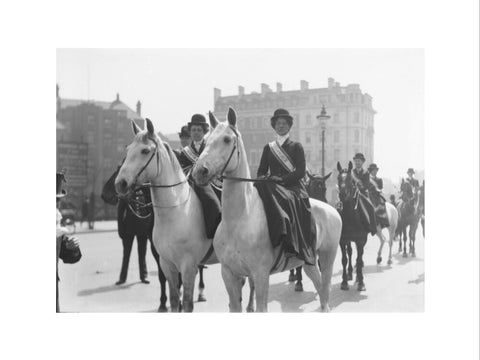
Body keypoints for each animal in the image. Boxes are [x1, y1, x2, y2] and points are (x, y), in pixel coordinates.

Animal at [116, 119, 223, 310]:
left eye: (145, 150)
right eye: (128, 150)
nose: (120, 183)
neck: (175, 212)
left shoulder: (188, 266)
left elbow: (187, 303)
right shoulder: (167, 264)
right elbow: (174, 299)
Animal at [191, 107, 342, 312]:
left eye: (227, 139)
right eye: (205, 141)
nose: (199, 171)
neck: (238, 220)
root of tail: (332, 209)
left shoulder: (260, 274)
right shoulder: (229, 274)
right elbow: (235, 306)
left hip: (327, 257)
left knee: (325, 291)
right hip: (309, 260)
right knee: (319, 286)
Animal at [336, 162, 370, 292]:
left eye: (350, 179)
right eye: (338, 178)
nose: (342, 194)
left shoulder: (361, 240)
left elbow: (359, 260)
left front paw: (361, 282)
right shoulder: (342, 240)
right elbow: (344, 259)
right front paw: (344, 281)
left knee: (358, 257)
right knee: (350, 253)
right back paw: (350, 273)